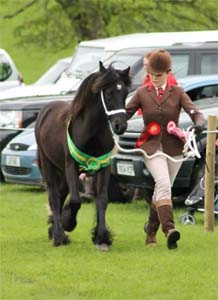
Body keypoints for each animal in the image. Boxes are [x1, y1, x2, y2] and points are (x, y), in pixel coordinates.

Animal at [35, 62, 130, 250]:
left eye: (125, 93)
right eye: (108, 93)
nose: (120, 125)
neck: (91, 131)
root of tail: (46, 109)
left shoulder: (103, 166)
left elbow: (102, 200)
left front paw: (102, 237)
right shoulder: (71, 166)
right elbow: (75, 200)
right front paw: (68, 223)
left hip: (62, 171)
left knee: (61, 195)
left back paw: (53, 230)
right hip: (49, 166)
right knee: (54, 197)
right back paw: (59, 236)